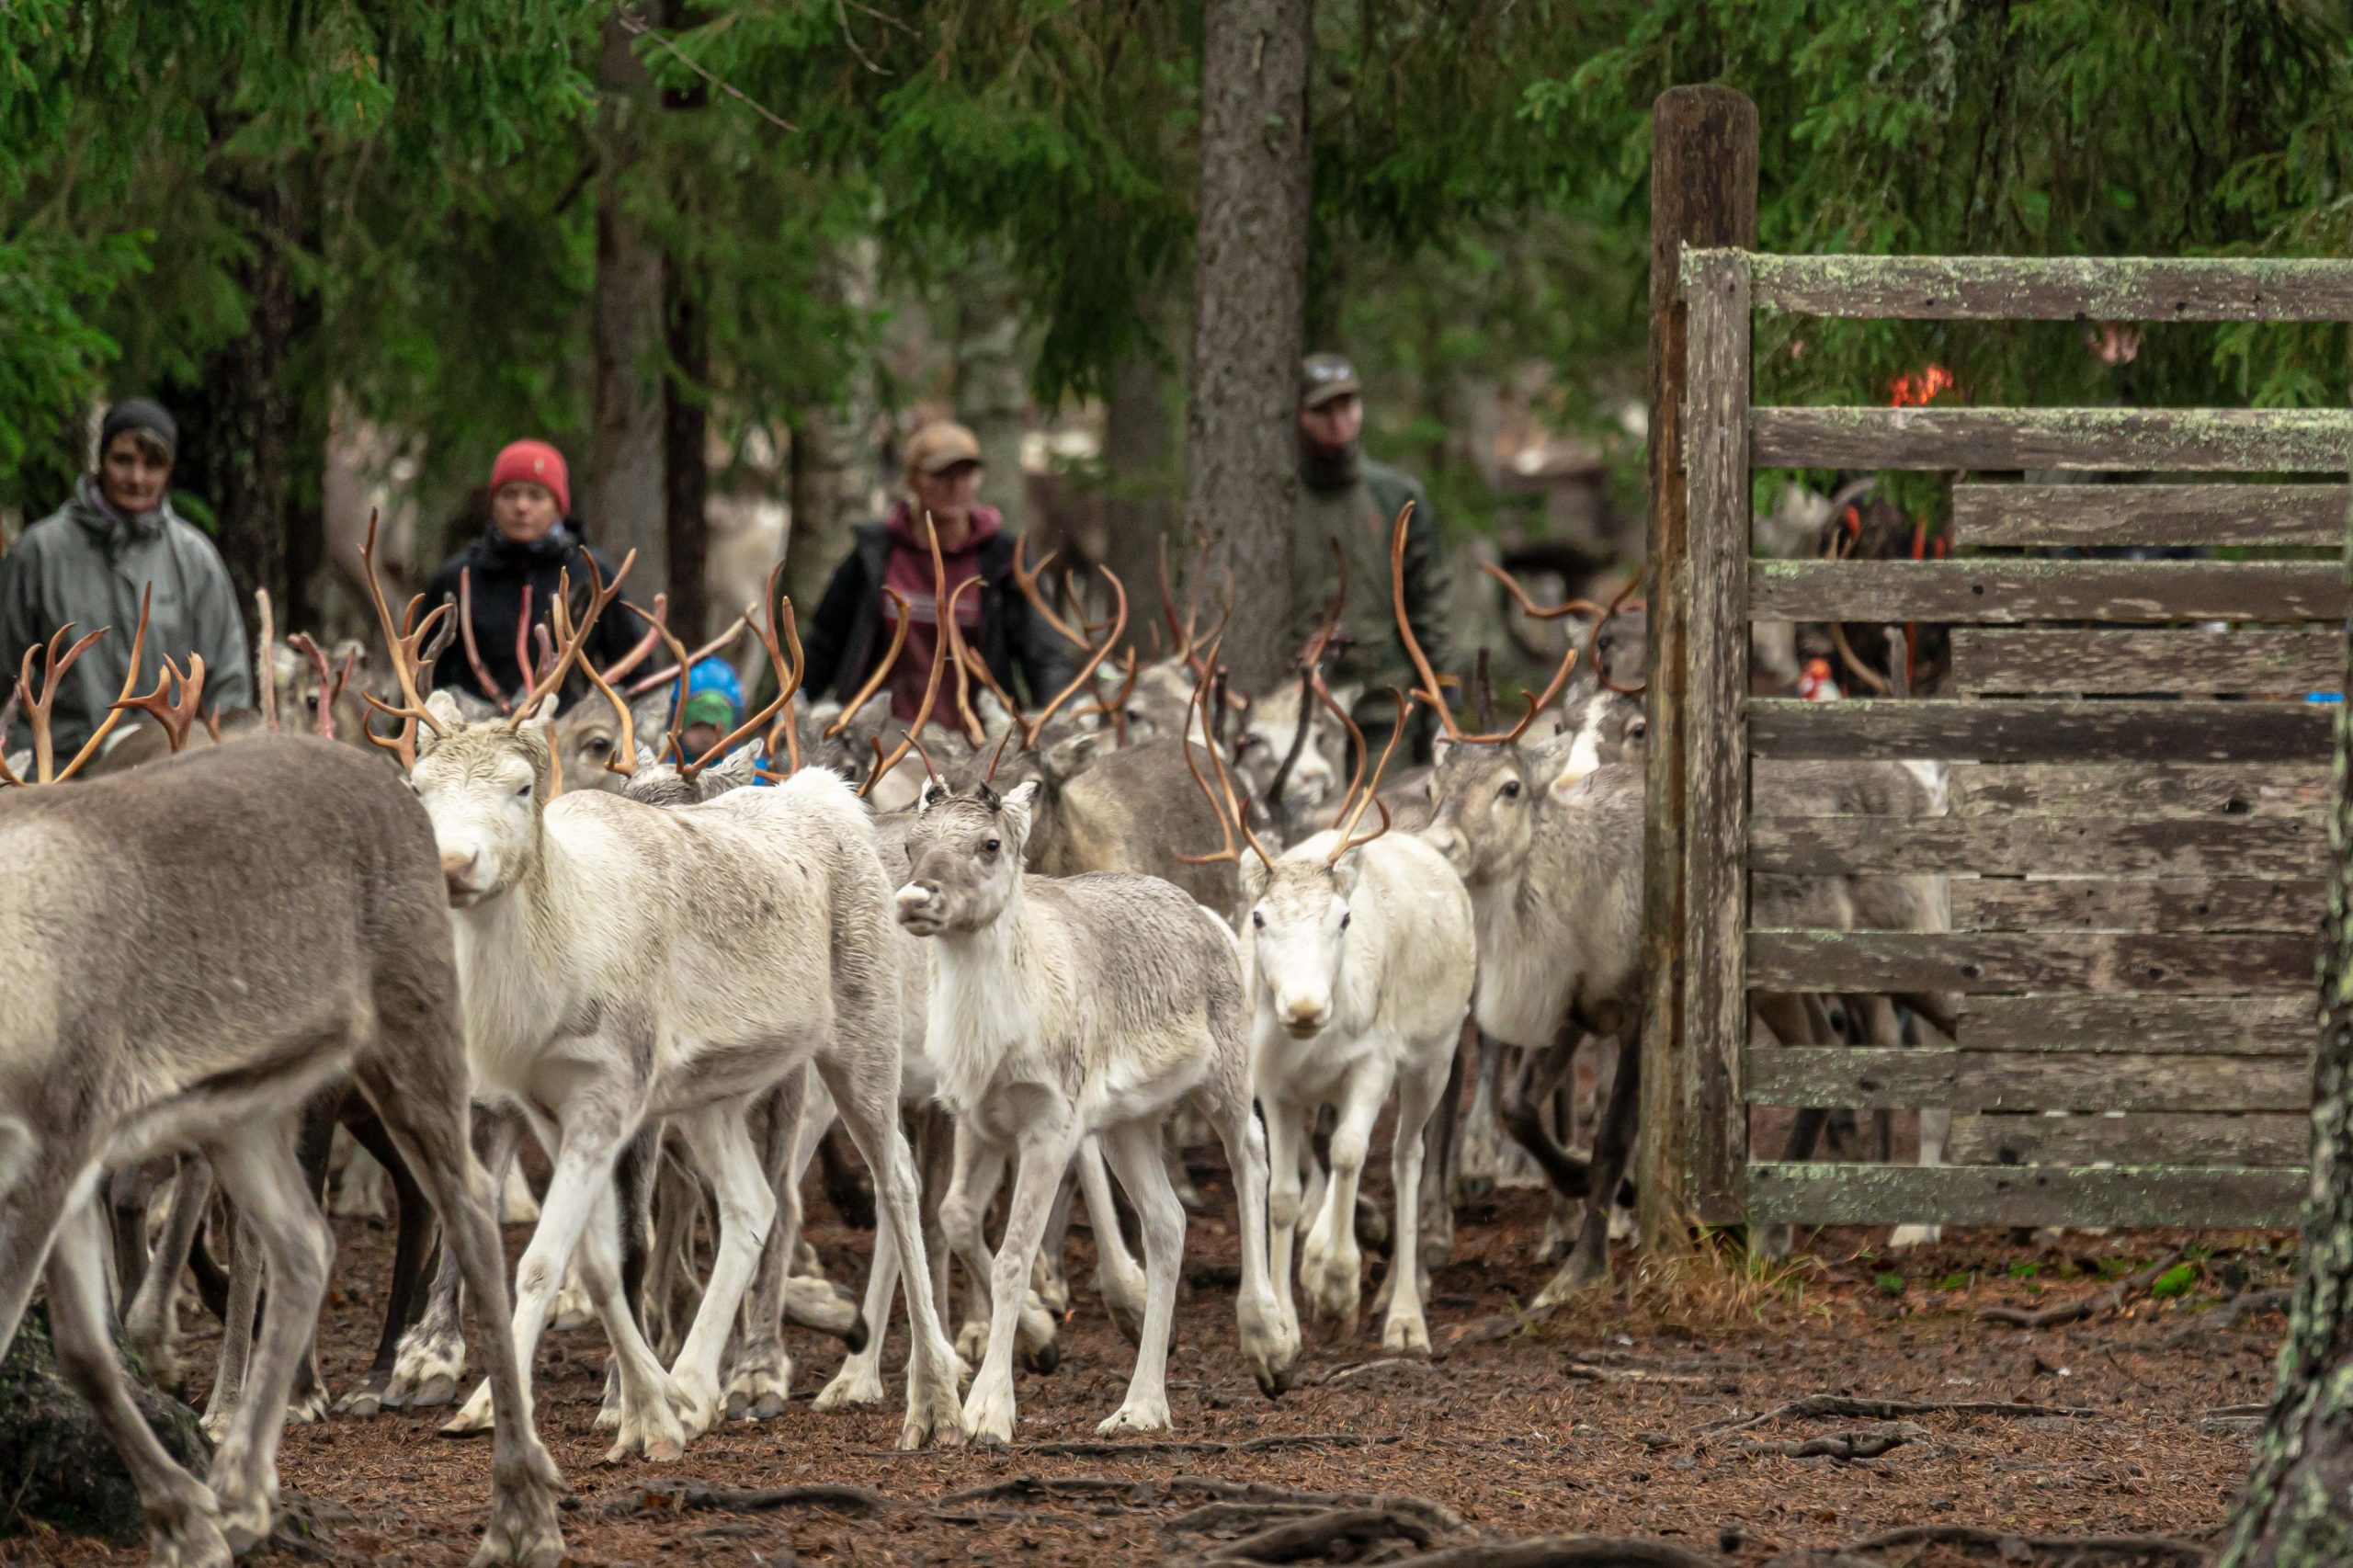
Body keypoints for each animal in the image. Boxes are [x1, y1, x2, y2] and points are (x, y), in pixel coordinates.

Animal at [0, 591, 565, 1568]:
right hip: (260, 1100)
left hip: (406, 1036)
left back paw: (505, 1490)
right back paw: (252, 1463)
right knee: (312, 1235)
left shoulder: (70, 1128)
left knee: (466, 1205)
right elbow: (81, 1337)